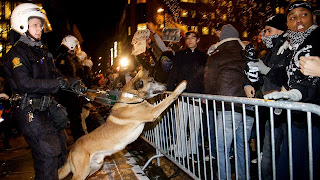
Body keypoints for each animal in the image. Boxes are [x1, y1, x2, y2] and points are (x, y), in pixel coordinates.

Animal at [58, 69, 186, 179]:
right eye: (152, 81)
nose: (166, 84)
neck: (132, 97)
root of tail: (72, 149)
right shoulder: (152, 112)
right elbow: (168, 99)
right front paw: (181, 86)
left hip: (94, 167)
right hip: (81, 172)